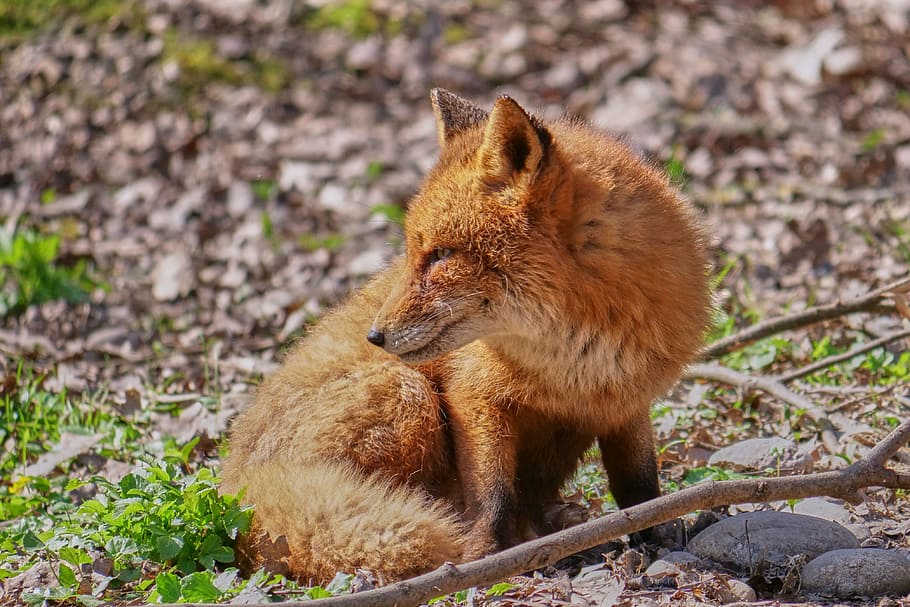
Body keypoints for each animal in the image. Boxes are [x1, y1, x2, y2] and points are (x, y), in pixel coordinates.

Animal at [220, 89, 712, 584]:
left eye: (441, 255)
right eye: (414, 253)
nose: (375, 335)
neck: (575, 367)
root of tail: (237, 484)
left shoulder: (628, 400)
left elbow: (639, 482)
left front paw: (657, 531)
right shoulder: (472, 396)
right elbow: (493, 494)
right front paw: (485, 557)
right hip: (410, 394)